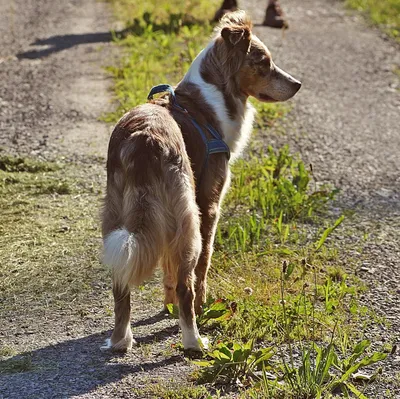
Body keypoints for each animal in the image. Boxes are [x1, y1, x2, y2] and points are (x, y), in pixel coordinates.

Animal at [101, 10, 302, 352]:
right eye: (263, 62)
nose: (298, 84)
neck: (211, 99)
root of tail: (142, 140)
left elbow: (167, 270)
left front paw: (166, 306)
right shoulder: (209, 204)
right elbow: (203, 266)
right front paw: (201, 305)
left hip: (118, 218)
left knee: (121, 283)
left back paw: (120, 341)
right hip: (188, 220)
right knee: (187, 281)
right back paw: (194, 340)